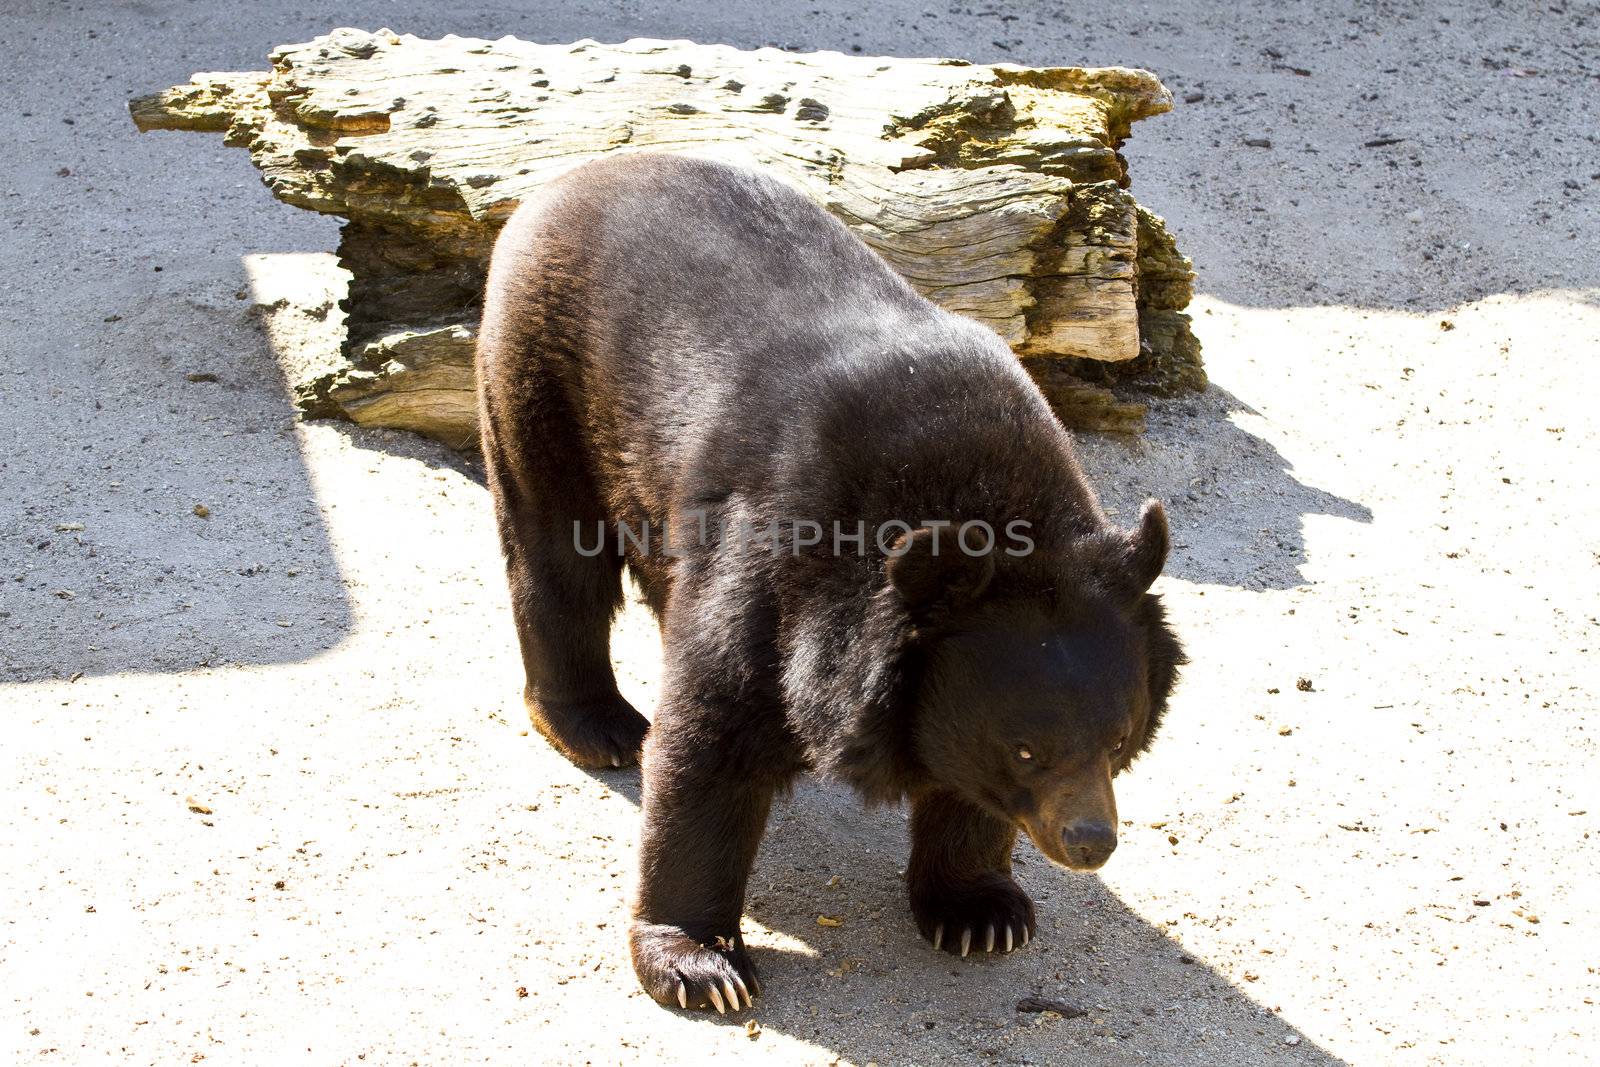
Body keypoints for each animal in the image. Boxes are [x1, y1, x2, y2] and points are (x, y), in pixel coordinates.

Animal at [470, 150, 1177, 1011]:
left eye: (1119, 739)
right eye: (1027, 749)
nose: (1090, 842)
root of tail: (569, 178)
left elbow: (962, 788)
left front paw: (982, 914)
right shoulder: (774, 566)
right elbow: (709, 742)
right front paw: (701, 965)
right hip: (544, 378)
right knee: (558, 557)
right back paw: (600, 726)